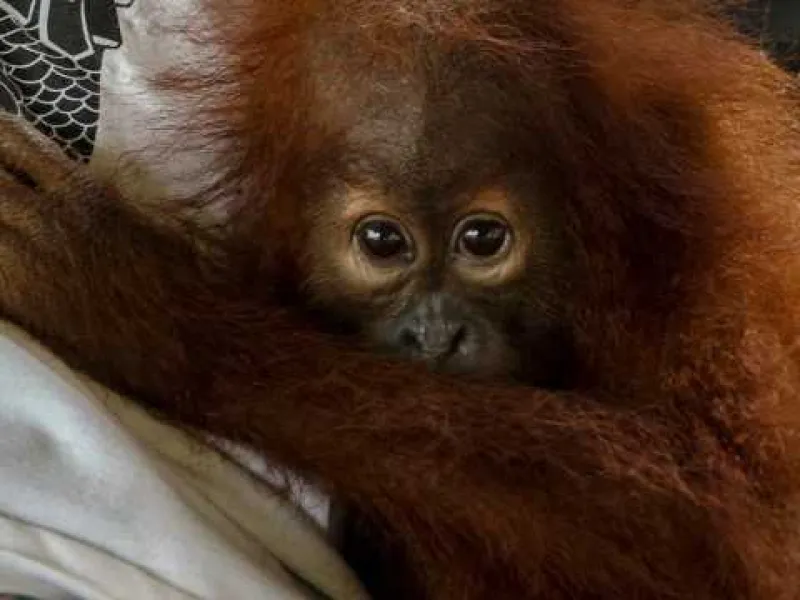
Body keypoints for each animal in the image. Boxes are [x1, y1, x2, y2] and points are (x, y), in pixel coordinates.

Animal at [1, 0, 800, 599]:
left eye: (483, 238)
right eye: (382, 242)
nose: (438, 335)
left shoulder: (728, 262)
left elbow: (737, 529)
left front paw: (123, 294)